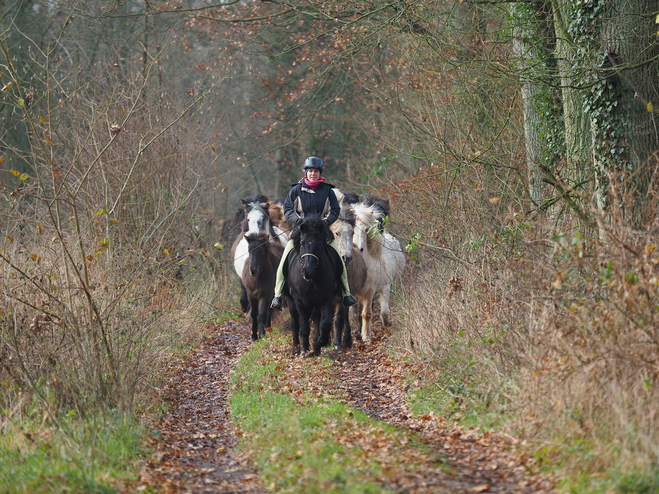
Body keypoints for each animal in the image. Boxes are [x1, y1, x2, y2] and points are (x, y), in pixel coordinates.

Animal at [284, 215, 342, 356]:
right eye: (302, 243)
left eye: (319, 244)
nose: (307, 272)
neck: (312, 280)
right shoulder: (299, 301)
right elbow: (304, 327)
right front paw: (305, 349)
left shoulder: (326, 299)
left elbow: (325, 323)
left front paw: (321, 342)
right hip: (291, 300)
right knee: (295, 321)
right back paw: (296, 348)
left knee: (316, 318)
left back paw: (316, 345)